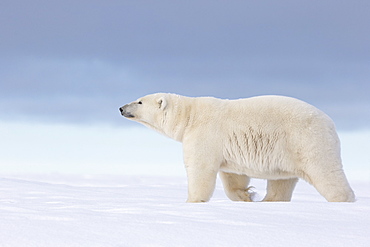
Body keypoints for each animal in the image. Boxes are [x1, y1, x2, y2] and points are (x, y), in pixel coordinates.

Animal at [119, 92, 356, 203]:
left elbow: (200, 169)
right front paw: (246, 196)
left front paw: (191, 201)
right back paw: (268, 201)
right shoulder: (224, 146)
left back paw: (343, 200)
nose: (121, 108)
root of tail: (330, 123)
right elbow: (232, 176)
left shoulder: (204, 134)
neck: (189, 116)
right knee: (282, 181)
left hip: (307, 140)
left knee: (325, 171)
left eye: (139, 101)